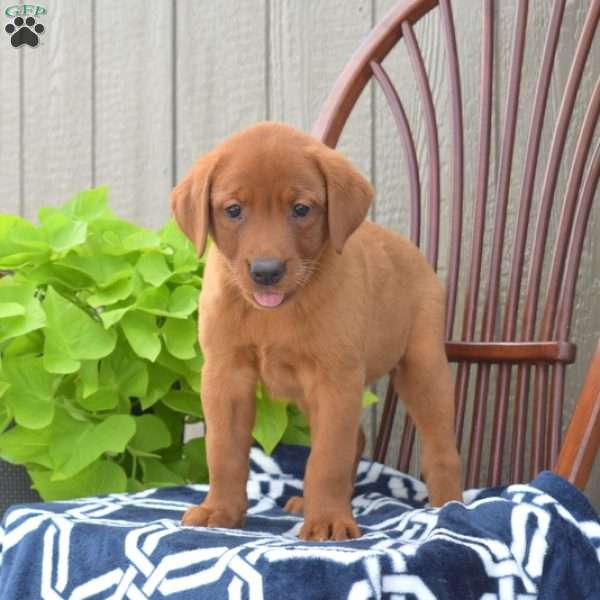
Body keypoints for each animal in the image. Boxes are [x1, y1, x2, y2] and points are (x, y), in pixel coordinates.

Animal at [171, 120, 462, 540]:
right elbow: (224, 452)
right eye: (234, 210)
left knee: (441, 448)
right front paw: (220, 510)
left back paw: (448, 506)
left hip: (422, 367)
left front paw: (328, 520)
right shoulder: (225, 375)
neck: (275, 312)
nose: (266, 271)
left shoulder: (335, 379)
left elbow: (327, 460)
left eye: (301, 209)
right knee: (358, 437)